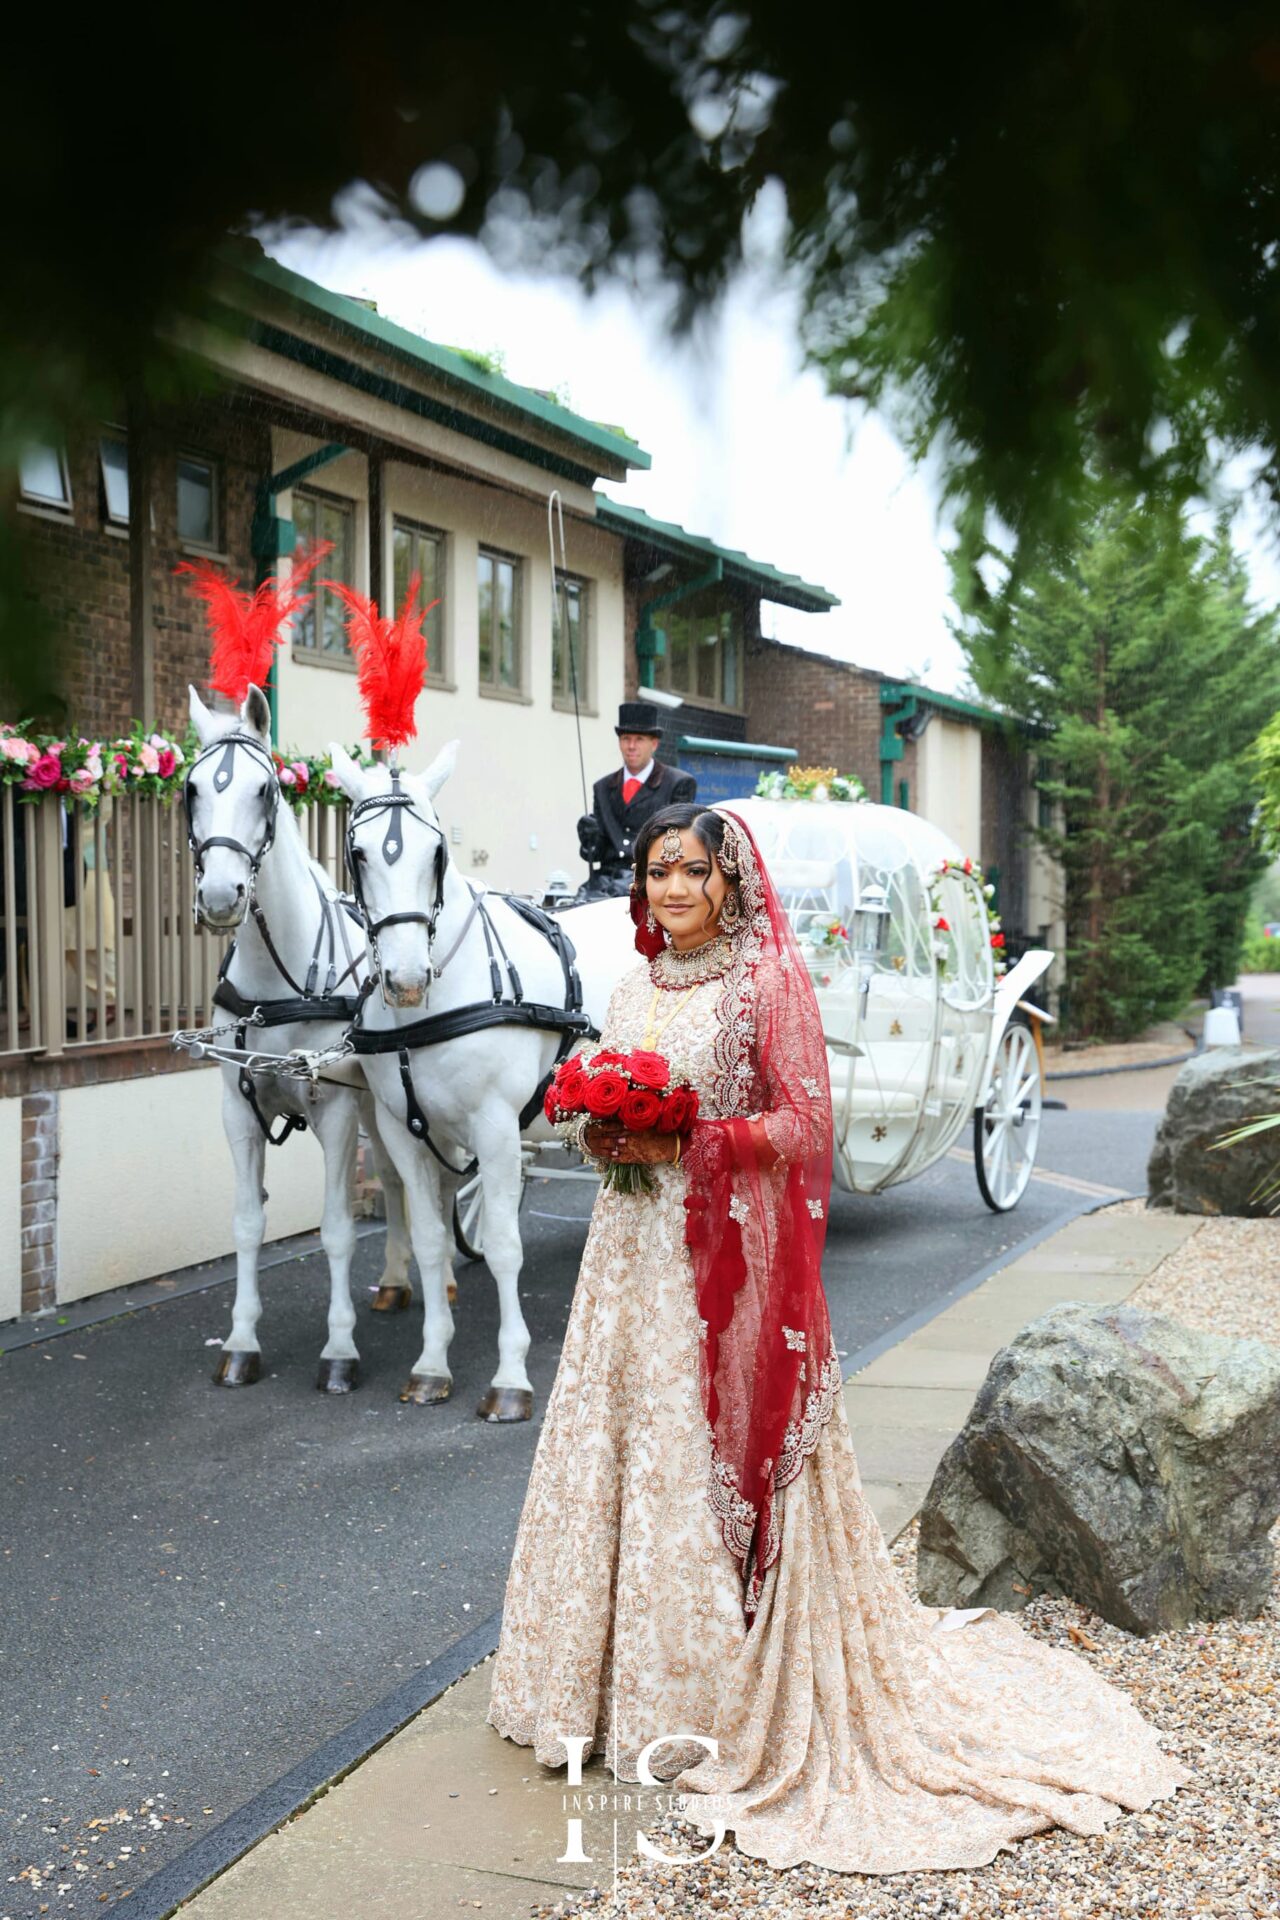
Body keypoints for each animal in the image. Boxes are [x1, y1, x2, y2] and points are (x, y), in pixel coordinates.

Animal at [185, 691, 412, 1397]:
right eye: (191, 789)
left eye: (263, 790)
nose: (220, 896)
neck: (276, 980)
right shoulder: (236, 1109)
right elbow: (247, 1224)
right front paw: (240, 1343)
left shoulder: (333, 1108)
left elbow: (337, 1229)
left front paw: (339, 1350)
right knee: (394, 1176)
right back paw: (397, 1281)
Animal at [326, 741, 625, 1420]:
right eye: (359, 854)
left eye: (436, 853)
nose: (407, 979)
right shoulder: (404, 1132)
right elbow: (430, 1240)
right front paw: (432, 1364)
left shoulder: (495, 1127)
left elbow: (507, 1245)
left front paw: (510, 1377)